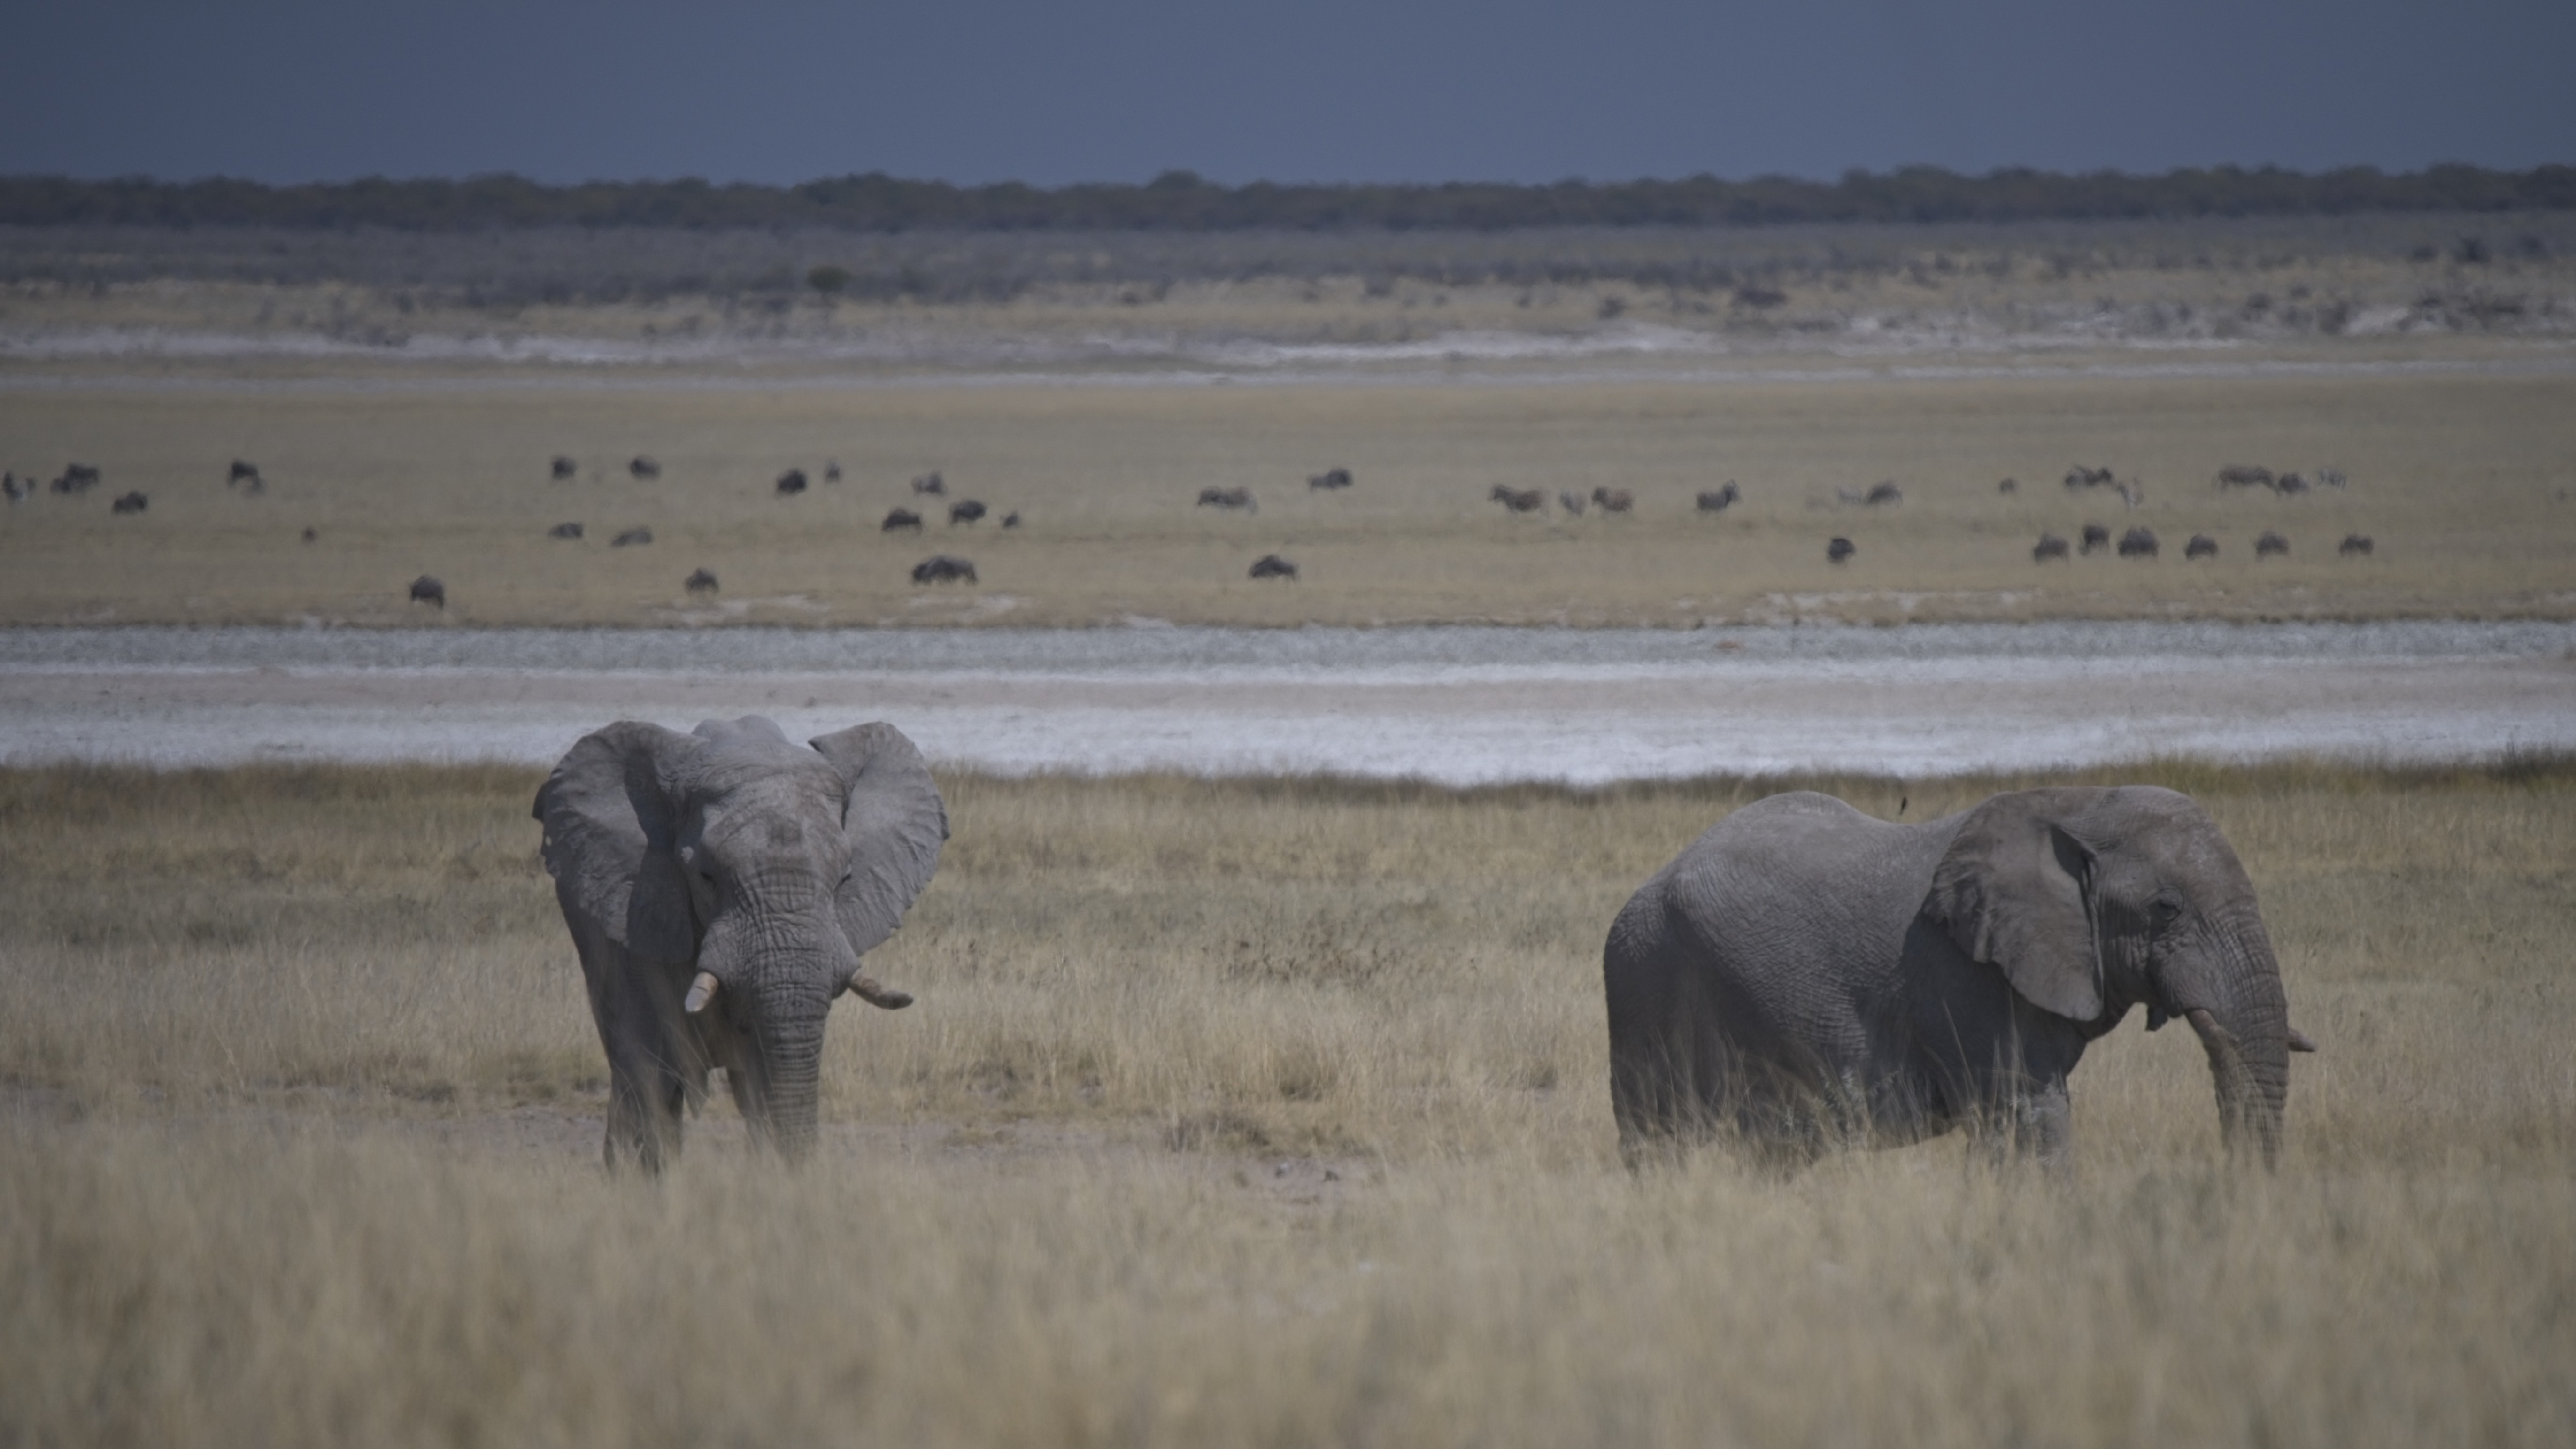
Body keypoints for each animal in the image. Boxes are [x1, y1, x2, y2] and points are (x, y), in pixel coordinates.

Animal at [1603, 787, 2314, 1171]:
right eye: (2166, 908)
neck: (2073, 804)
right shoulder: (1963, 977)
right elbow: (2027, 1116)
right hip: (1647, 986)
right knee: (1661, 1144)